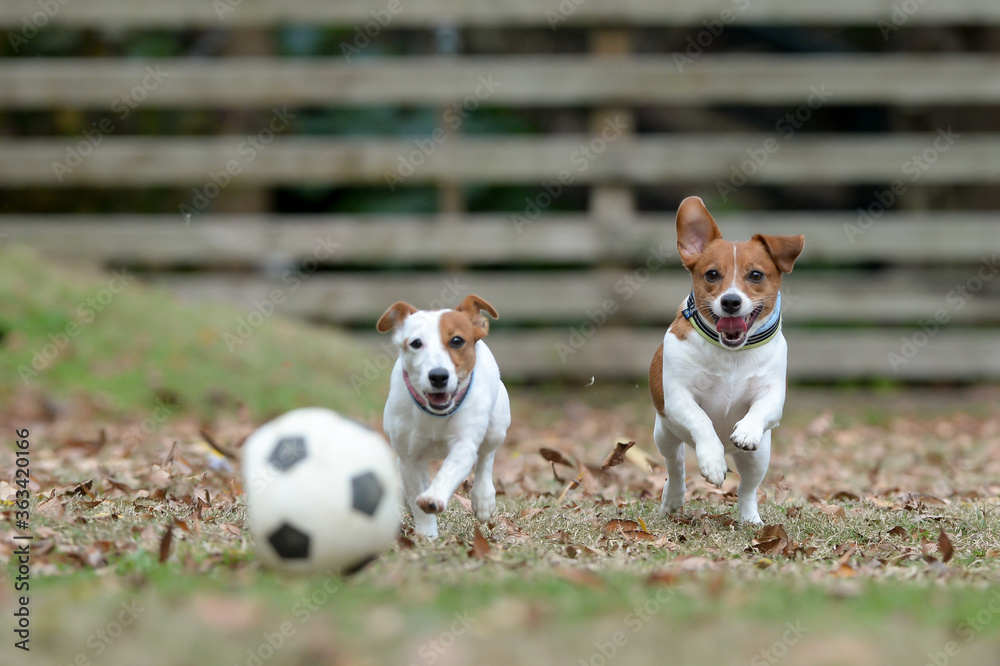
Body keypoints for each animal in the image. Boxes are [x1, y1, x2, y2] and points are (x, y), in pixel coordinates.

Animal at [378, 294, 512, 536]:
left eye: (457, 340)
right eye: (416, 343)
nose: (438, 375)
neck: (434, 415)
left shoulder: (464, 444)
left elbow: (449, 471)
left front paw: (433, 497)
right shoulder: (409, 456)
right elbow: (415, 492)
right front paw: (427, 534)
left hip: (497, 425)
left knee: (487, 456)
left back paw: (483, 498)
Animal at [648, 197, 804, 524]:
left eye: (756, 275)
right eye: (711, 274)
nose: (730, 301)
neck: (731, 353)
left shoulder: (773, 396)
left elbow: (761, 409)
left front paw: (745, 430)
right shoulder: (678, 397)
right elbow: (701, 419)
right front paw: (712, 461)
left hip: (759, 457)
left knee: (747, 488)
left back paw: (750, 519)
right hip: (665, 434)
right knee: (675, 467)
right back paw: (673, 498)